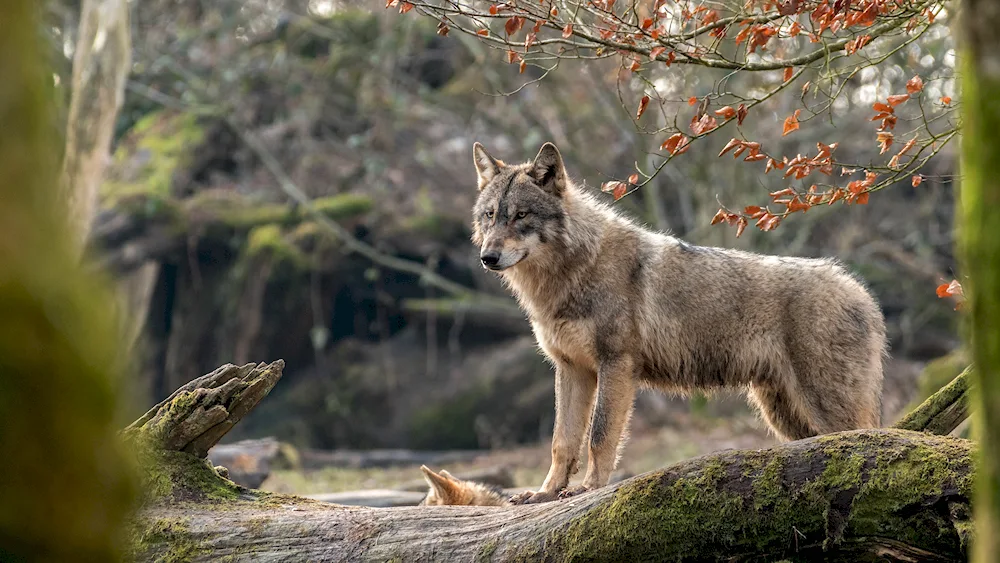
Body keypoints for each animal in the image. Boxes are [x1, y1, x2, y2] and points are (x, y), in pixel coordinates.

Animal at [472, 140, 888, 502]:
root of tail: (861, 292)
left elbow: (600, 435)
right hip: (785, 416)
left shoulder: (616, 365)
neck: (571, 272)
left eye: (521, 215)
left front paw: (588, 489)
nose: (487, 257)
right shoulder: (572, 368)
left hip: (822, 408)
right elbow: (562, 441)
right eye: (490, 215)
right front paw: (545, 494)